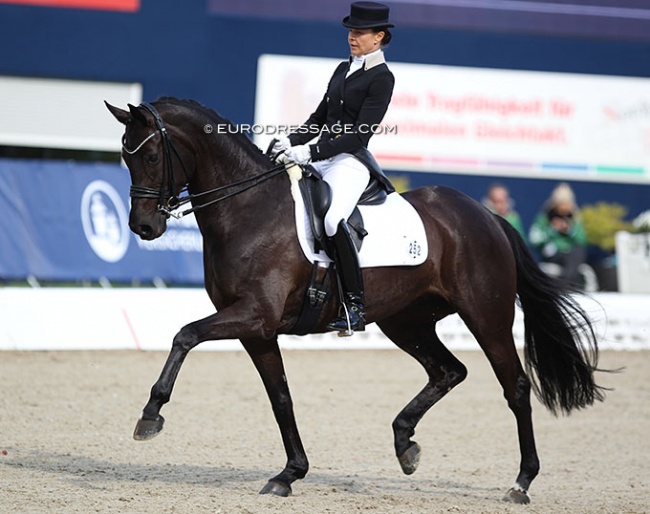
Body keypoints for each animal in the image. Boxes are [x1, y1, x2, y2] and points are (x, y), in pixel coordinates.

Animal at [104, 98, 600, 502]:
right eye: (125, 157)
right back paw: (405, 444)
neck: (247, 209)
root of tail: (485, 215)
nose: (143, 227)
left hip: (486, 316)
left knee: (515, 387)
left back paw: (521, 482)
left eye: (151, 155)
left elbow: (185, 335)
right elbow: (280, 397)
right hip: (405, 322)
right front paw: (289, 474)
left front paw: (150, 415)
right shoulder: (257, 330)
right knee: (448, 371)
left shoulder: (253, 315)